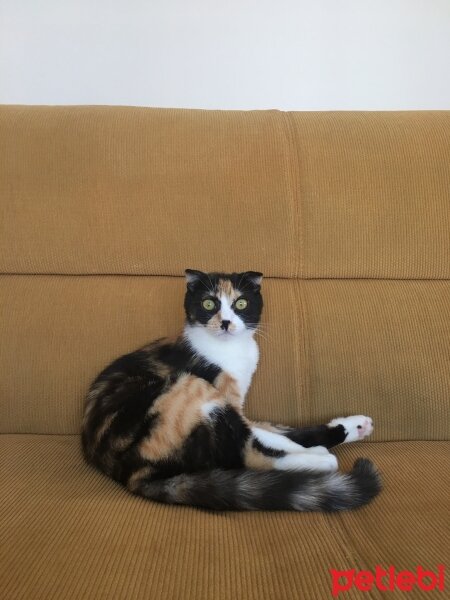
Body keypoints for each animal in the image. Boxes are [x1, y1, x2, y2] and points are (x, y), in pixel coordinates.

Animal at [81, 272, 380, 510]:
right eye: (209, 303)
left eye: (241, 303)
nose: (225, 322)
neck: (232, 351)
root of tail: (132, 474)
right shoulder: (225, 398)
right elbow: (264, 436)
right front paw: (313, 452)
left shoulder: (237, 404)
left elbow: (273, 430)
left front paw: (347, 430)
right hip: (189, 391)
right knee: (247, 454)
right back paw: (320, 461)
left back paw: (351, 430)